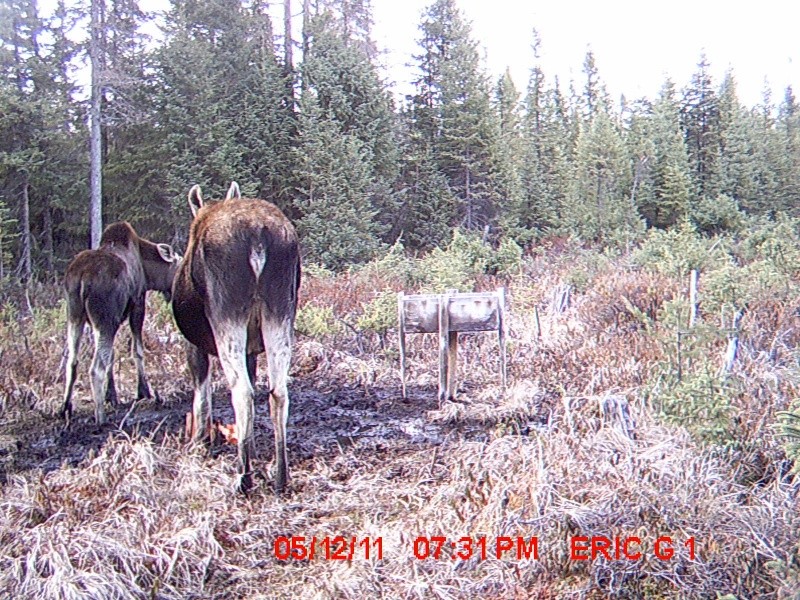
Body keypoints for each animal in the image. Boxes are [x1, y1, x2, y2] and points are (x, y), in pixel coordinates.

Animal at [62, 221, 181, 426]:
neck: (149, 273)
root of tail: (83, 277)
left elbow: (111, 356)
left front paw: (112, 396)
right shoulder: (137, 304)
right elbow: (137, 351)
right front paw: (144, 392)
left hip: (76, 315)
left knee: (72, 360)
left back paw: (65, 407)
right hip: (105, 320)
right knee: (95, 368)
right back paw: (100, 417)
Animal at [172, 183, 300, 492]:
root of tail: (258, 238)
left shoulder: (192, 343)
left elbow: (201, 396)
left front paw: (199, 445)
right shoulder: (252, 350)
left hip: (226, 312)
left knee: (241, 390)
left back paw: (244, 478)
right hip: (280, 308)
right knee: (278, 391)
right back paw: (280, 476)